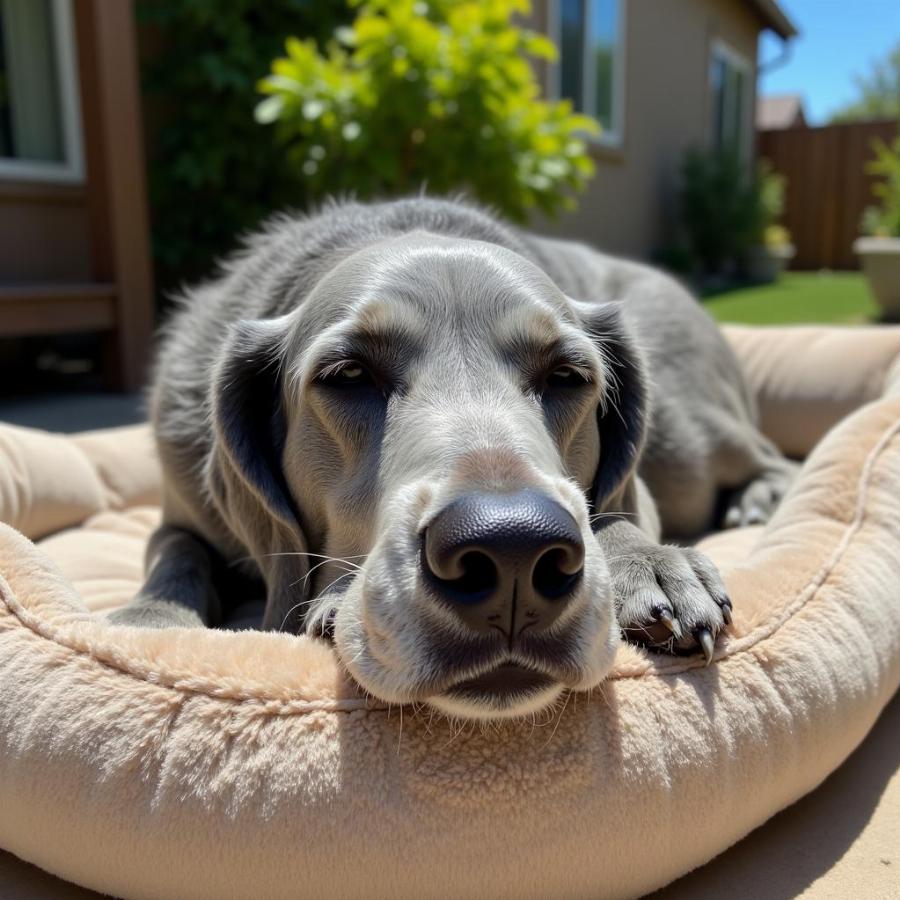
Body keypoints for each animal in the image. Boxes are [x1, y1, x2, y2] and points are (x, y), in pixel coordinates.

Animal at [112, 200, 796, 720]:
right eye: (348, 375)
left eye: (568, 376)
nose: (512, 549)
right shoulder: (179, 508)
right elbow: (176, 551)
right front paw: (150, 618)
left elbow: (615, 513)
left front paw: (647, 563)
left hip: (686, 442)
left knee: (769, 456)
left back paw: (759, 495)